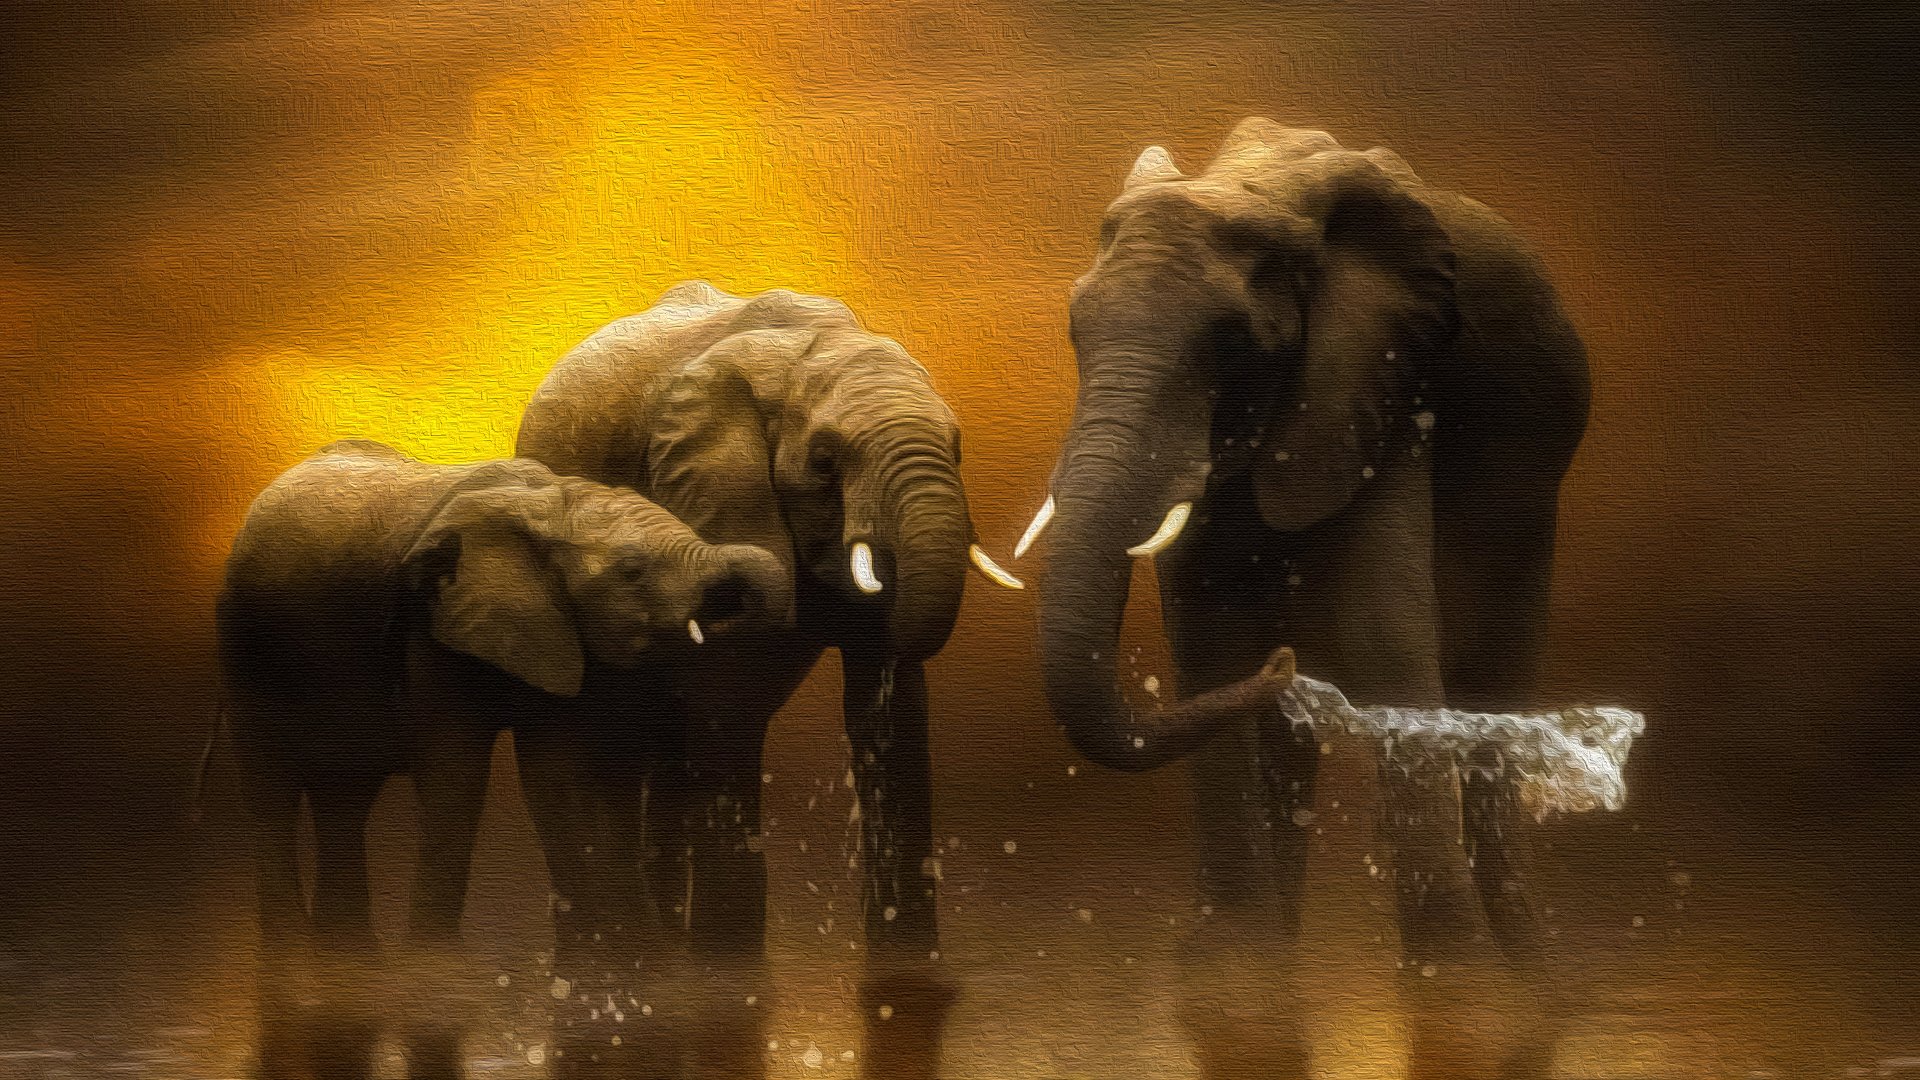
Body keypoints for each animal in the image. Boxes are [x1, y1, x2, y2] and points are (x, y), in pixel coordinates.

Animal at [216, 438, 787, 1079]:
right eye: (631, 570)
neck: (554, 504)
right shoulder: (435, 622)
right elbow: (464, 777)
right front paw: (438, 988)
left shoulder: (553, 627)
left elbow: (570, 773)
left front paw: (641, 994)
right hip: (243, 649)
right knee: (271, 794)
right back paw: (298, 983)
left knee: (345, 800)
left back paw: (350, 971)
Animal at [515, 282, 1018, 1080]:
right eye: (824, 460)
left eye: (960, 445)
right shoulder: (712, 500)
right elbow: (725, 707)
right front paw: (729, 992)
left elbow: (891, 710)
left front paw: (908, 982)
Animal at [1014, 120, 1592, 1078]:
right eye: (1072, 330)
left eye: (1232, 342)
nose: (1289, 660)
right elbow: (1209, 646)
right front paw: (1233, 1000)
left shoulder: (1381, 384)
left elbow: (1385, 636)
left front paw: (1461, 1011)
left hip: (1534, 475)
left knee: (1491, 669)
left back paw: (1536, 991)